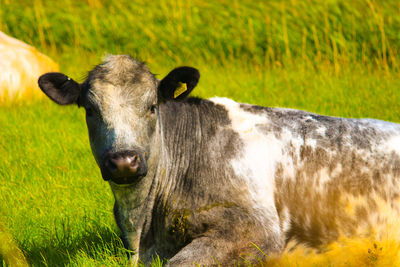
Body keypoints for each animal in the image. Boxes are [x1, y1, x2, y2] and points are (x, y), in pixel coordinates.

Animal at [38, 55, 400, 266]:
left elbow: (180, 263)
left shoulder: (257, 227)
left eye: (152, 106)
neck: (145, 226)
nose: (124, 161)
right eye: (90, 110)